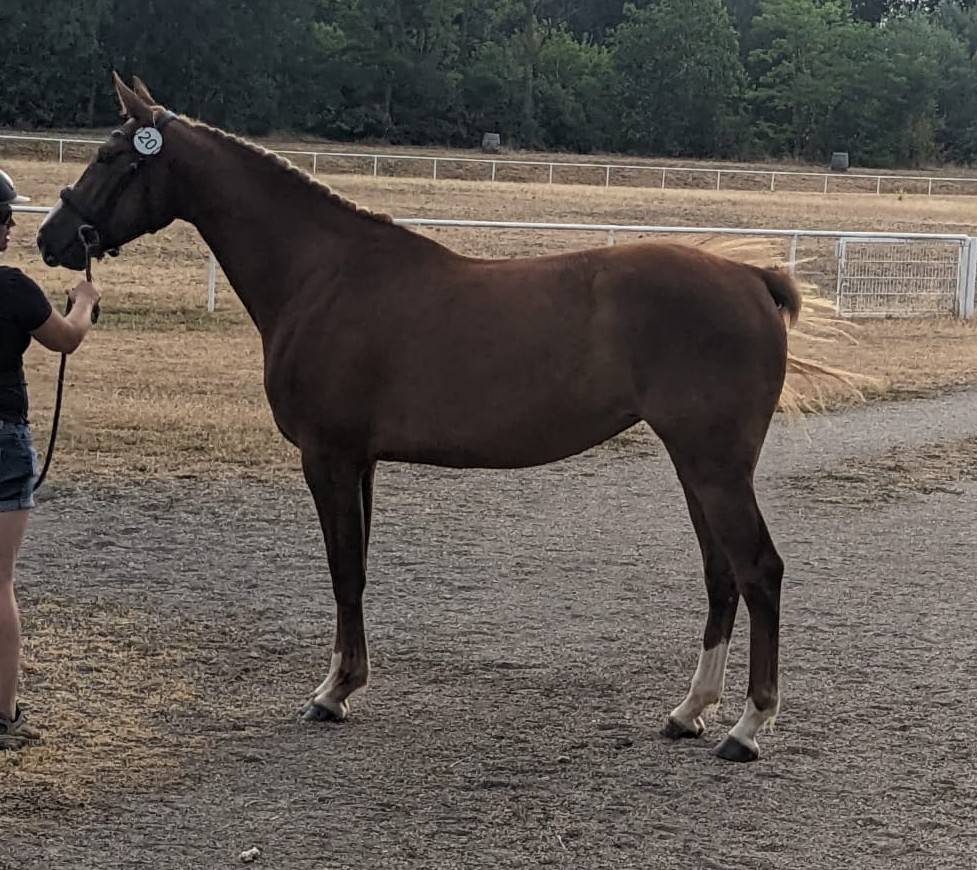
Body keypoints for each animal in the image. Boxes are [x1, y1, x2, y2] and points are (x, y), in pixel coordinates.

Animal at [39, 73, 804, 762]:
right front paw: (348, 682)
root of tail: (752, 279)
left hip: (714, 467)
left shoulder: (327, 456)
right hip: (695, 465)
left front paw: (332, 693)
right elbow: (357, 569)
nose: (52, 238)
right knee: (721, 575)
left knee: (759, 570)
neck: (322, 275)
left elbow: (343, 570)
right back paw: (689, 711)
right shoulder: (362, 461)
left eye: (108, 155)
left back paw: (746, 727)